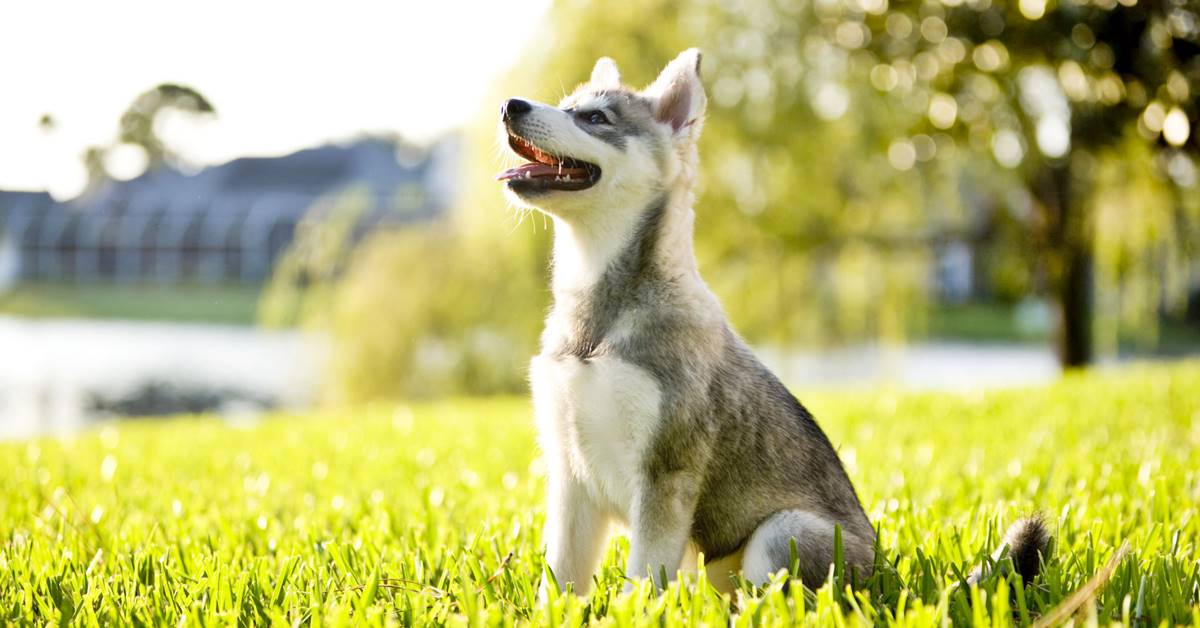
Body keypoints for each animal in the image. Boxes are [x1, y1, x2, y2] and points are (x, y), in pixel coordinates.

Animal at [492, 48, 1046, 595]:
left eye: (594, 117)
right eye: (568, 105)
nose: (510, 105)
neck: (597, 317)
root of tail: (890, 581)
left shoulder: (665, 475)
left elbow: (644, 583)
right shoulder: (570, 477)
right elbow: (559, 582)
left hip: (783, 533)